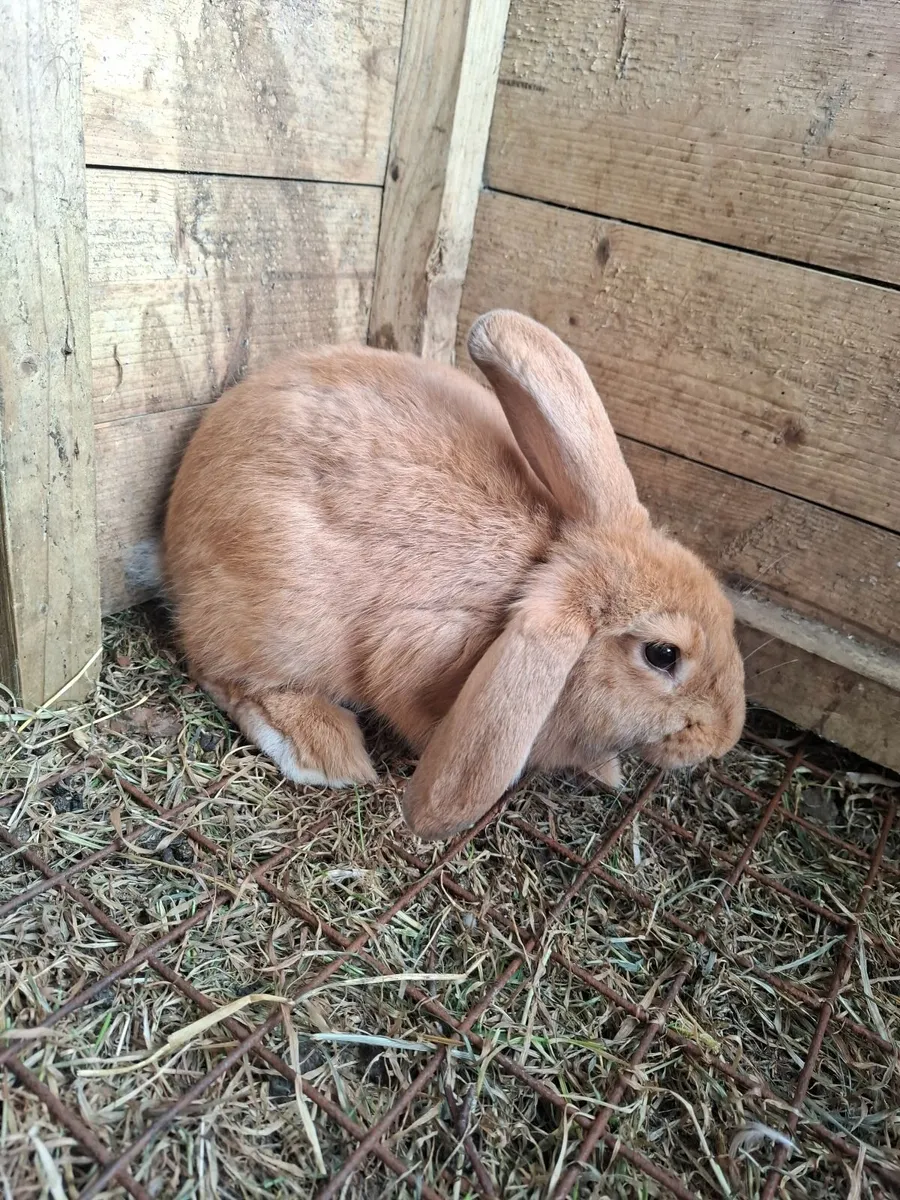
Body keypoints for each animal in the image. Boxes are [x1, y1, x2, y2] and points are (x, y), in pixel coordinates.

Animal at [160, 309, 745, 840]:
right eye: (663, 654)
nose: (724, 738)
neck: (540, 565)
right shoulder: (420, 651)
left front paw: (607, 770)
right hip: (276, 619)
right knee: (225, 674)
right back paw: (326, 751)